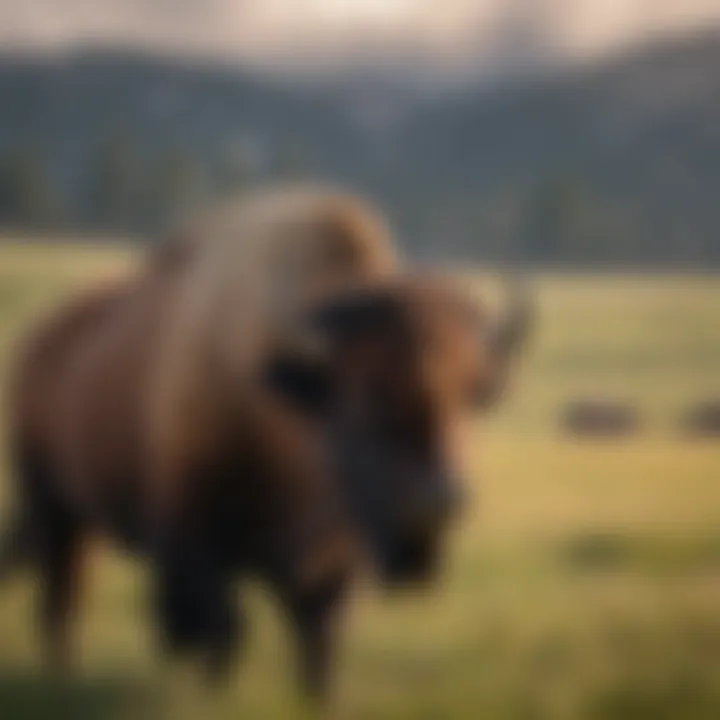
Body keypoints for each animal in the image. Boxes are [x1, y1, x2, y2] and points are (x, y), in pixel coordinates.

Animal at [0, 187, 528, 704]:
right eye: (362, 398)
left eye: (473, 395)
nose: (440, 501)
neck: (283, 392)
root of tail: (39, 340)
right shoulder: (201, 537)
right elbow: (228, 628)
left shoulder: (335, 556)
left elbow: (322, 634)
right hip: (52, 505)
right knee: (61, 598)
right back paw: (63, 677)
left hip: (80, 518)